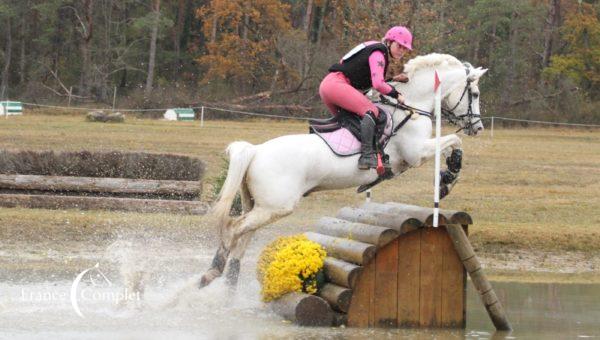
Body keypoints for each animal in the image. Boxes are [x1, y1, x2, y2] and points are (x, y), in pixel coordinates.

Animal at [202, 53, 488, 286]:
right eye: (474, 94)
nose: (479, 128)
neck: (411, 106)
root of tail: (256, 151)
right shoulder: (417, 153)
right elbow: (454, 141)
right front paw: (448, 178)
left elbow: (449, 146)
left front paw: (444, 176)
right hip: (276, 206)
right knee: (234, 228)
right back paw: (213, 271)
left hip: (259, 206)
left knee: (242, 238)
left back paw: (226, 284)